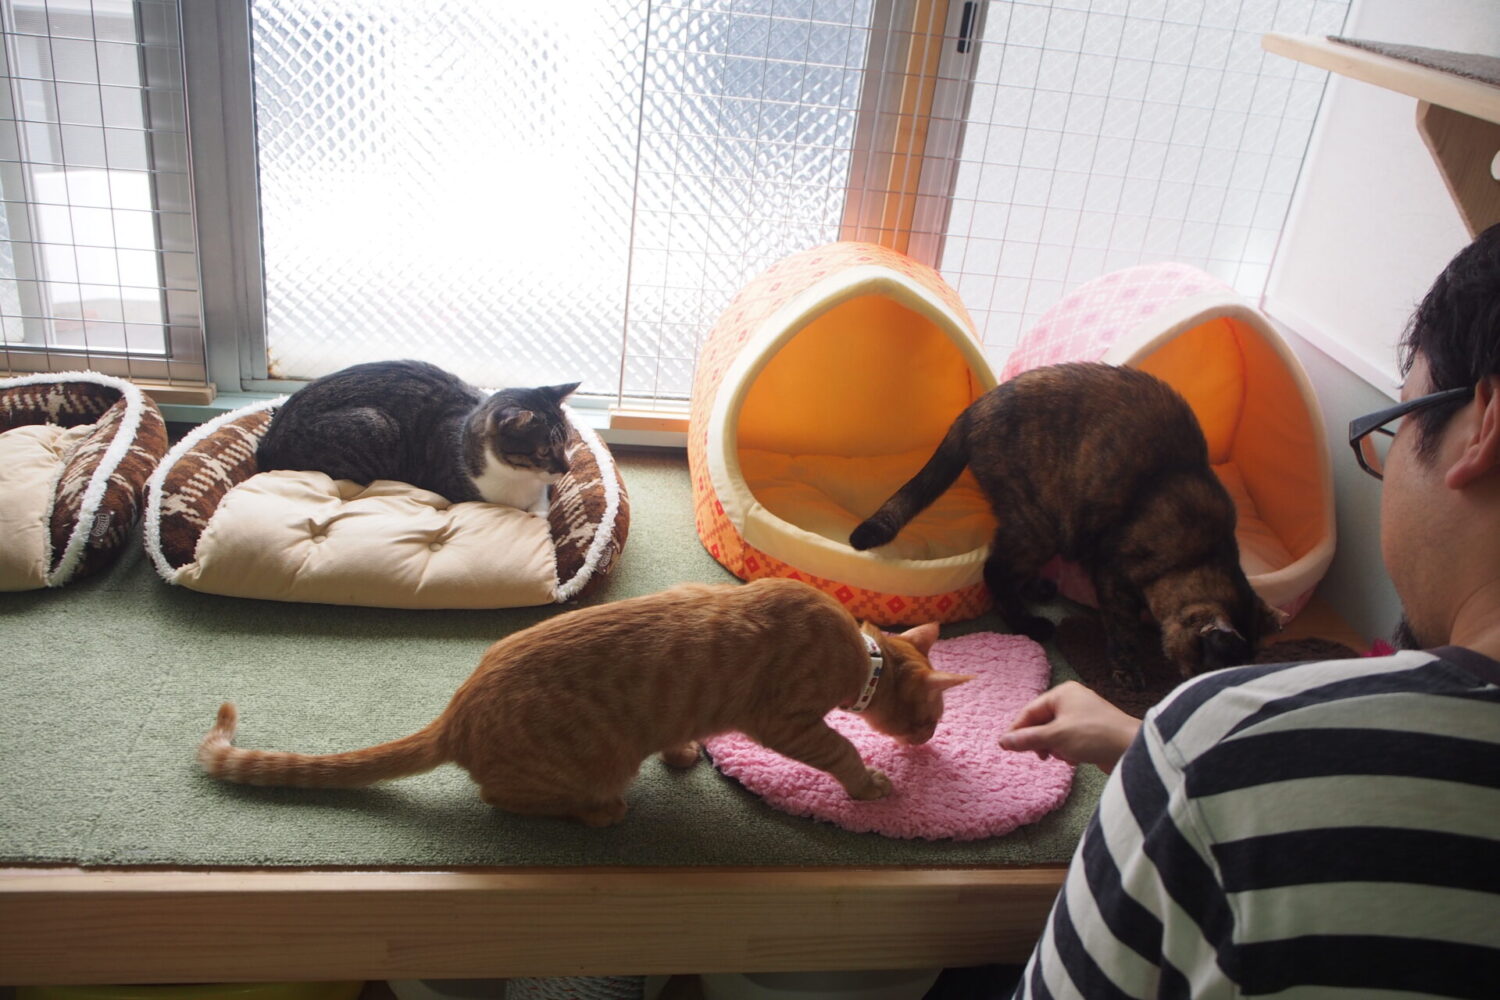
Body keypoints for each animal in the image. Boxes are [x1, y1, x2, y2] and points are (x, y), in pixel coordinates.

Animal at [197, 578, 970, 826]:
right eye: (932, 720)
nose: (931, 742)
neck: (860, 653)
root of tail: (457, 712)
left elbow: (681, 735)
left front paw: (684, 751)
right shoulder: (786, 721)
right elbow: (840, 749)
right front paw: (871, 783)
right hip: (586, 769)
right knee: (503, 799)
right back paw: (599, 812)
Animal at [255, 359, 580, 512]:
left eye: (566, 443)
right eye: (543, 451)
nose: (566, 468)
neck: (519, 483)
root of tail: (266, 446)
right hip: (376, 425)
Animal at [850, 362, 1282, 688]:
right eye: (1211, 670)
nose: (1188, 691)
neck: (1198, 553)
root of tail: (973, 410)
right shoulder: (1113, 574)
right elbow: (1123, 627)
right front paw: (1129, 669)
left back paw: (1039, 588)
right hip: (1040, 522)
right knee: (996, 570)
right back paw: (1030, 623)